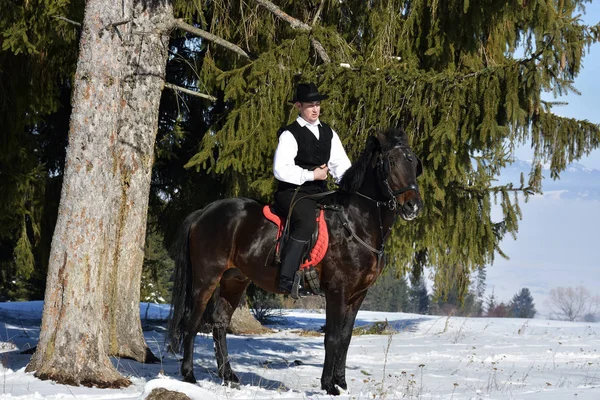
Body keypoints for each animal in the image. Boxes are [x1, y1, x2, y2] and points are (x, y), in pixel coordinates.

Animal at [166, 126, 424, 396]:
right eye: (391, 162)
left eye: (414, 162)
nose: (413, 206)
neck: (355, 223)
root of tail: (204, 213)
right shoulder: (338, 291)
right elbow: (332, 337)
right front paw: (329, 385)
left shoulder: (357, 295)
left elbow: (346, 337)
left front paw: (341, 383)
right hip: (206, 278)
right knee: (192, 321)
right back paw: (189, 374)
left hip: (234, 280)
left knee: (220, 324)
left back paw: (228, 376)